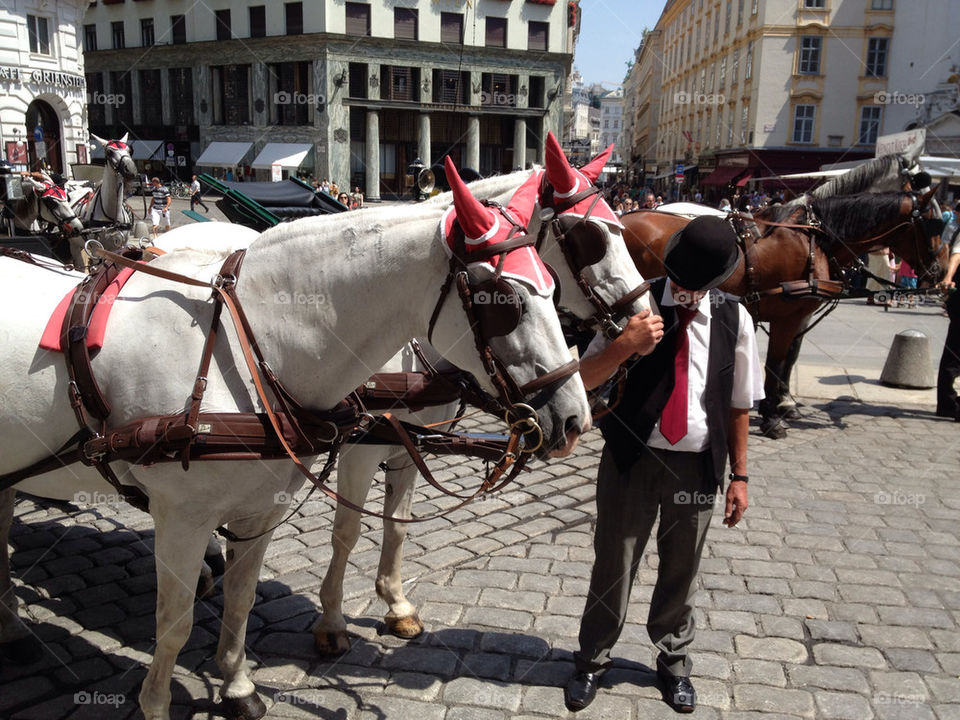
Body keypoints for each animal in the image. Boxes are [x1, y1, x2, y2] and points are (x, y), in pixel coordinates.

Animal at [0, 159, 591, 720]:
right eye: (506, 301)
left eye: (552, 286)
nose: (575, 420)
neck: (243, 348)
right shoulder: (189, 517)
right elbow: (175, 625)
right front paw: (160, 703)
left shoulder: (268, 505)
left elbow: (244, 599)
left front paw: (238, 687)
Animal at [68, 133, 141, 270]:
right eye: (109, 152)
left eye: (129, 150)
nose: (131, 169)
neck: (112, 218)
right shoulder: (96, 248)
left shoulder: (120, 246)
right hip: (74, 244)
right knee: (79, 264)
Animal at [312, 132, 654, 654]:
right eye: (590, 238)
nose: (644, 317)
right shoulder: (361, 447)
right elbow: (346, 531)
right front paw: (331, 619)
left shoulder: (407, 443)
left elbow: (396, 524)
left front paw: (396, 604)